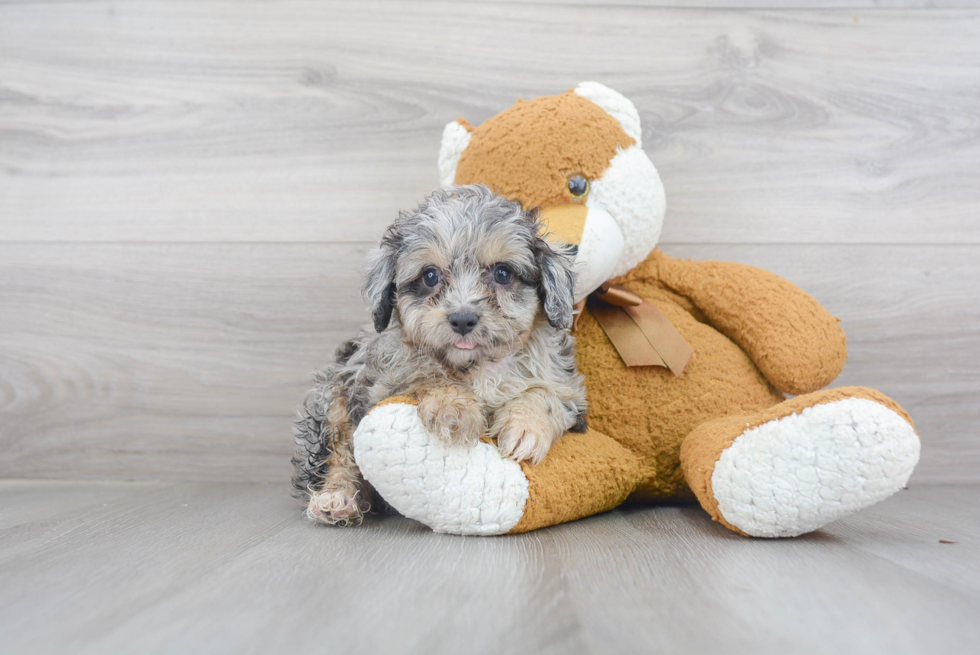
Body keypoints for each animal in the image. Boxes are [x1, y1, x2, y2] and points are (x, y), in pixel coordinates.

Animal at [288, 186, 584, 528]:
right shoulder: (381, 383)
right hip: (333, 397)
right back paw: (337, 499)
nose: (463, 319)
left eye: (502, 273)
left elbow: (545, 393)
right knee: (337, 454)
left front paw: (526, 428)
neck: (476, 366)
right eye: (430, 276)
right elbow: (426, 376)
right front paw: (452, 408)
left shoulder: (566, 384)